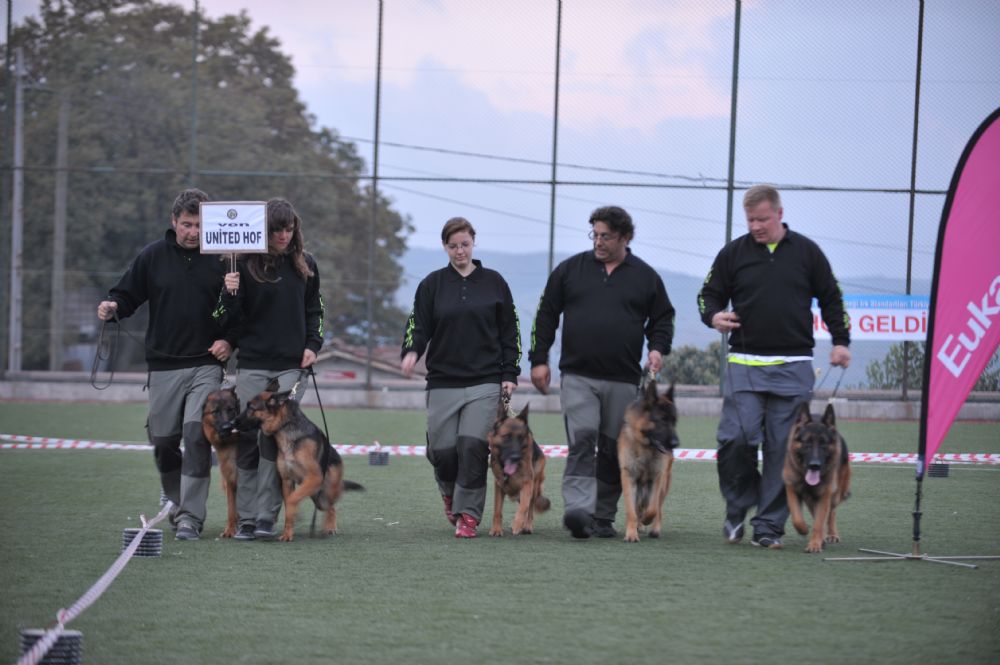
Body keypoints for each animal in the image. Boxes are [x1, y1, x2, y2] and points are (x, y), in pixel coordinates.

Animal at [201, 386, 242, 536]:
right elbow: (231, 508)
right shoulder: (230, 480)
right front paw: (230, 529)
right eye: (215, 412)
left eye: (230, 409)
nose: (227, 427)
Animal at [233, 378, 360, 540]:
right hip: (315, 494)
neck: (285, 427)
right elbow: (289, 502)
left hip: (325, 492)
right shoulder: (287, 481)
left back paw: (330, 527)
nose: (232, 422)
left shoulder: (313, 477)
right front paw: (288, 532)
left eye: (251, 407)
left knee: (331, 507)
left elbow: (293, 500)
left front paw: (296, 514)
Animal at [486, 400, 552, 536]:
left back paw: (526, 526)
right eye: (506, 437)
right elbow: (497, 510)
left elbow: (524, 507)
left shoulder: (527, 484)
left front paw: (517, 524)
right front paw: (496, 529)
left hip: (535, 486)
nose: (516, 457)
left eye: (521, 437)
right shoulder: (499, 486)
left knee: (530, 507)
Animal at [616, 382, 680, 544]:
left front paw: (646, 520)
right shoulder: (629, 478)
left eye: (674, 421)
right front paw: (631, 533)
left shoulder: (656, 478)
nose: (676, 444)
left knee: (657, 507)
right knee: (639, 506)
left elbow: (652, 509)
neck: (645, 447)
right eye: (662, 419)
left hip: (663, 484)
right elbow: (631, 510)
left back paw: (653, 528)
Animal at [780, 402, 852, 552]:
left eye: (823, 444)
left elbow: (819, 523)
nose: (815, 465)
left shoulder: (824, 495)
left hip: (835, 495)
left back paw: (831, 534)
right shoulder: (792, 490)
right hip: (810, 498)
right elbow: (797, 518)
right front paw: (804, 529)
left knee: (831, 512)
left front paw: (814, 544)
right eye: (807, 443)